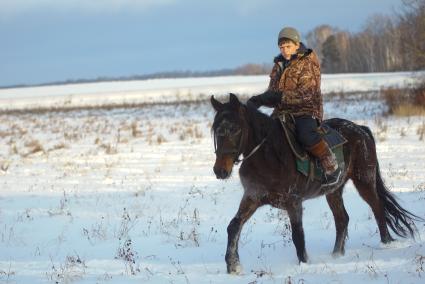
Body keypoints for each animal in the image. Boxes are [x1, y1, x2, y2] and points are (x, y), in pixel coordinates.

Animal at [210, 94, 420, 274]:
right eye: (215, 130)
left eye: (235, 129)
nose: (220, 171)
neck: (268, 155)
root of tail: (362, 130)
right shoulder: (252, 197)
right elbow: (233, 227)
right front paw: (233, 266)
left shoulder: (293, 201)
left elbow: (298, 235)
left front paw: (304, 264)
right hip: (334, 191)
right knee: (342, 219)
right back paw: (336, 255)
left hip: (364, 181)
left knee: (377, 208)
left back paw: (386, 243)